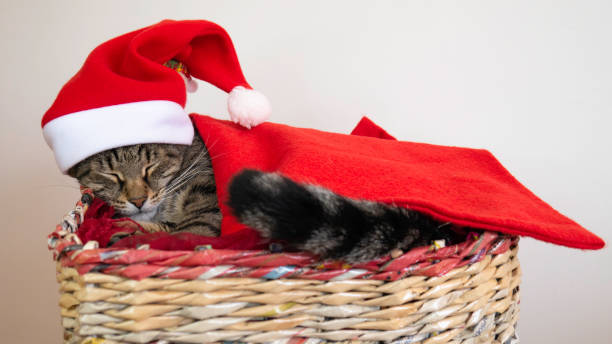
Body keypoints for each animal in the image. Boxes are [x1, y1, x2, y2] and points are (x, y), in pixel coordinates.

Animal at [69, 128, 452, 260]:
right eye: (110, 175)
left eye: (151, 167)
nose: (137, 200)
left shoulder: (207, 211)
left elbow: (180, 235)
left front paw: (130, 233)